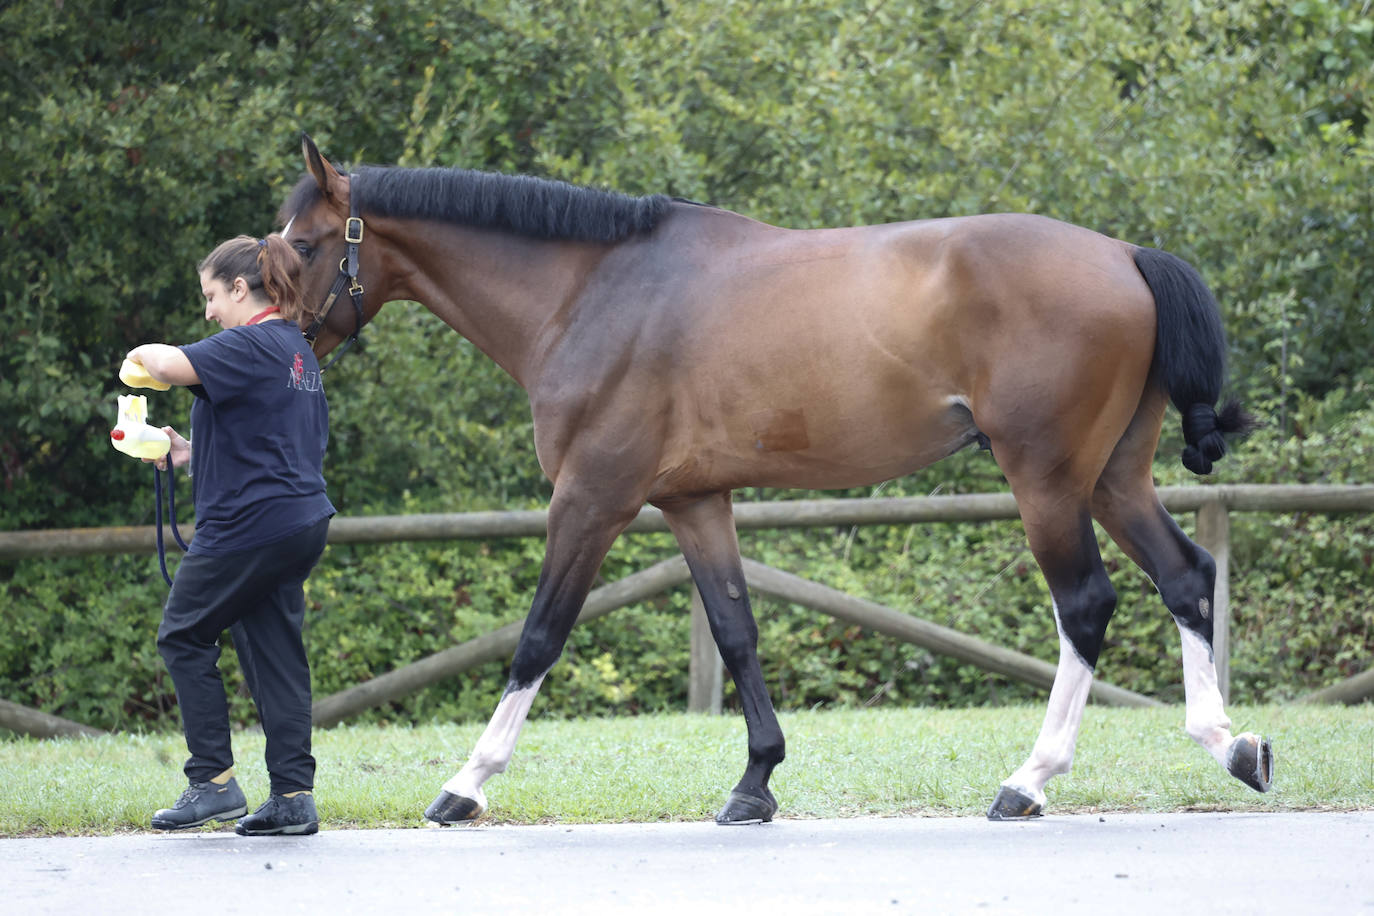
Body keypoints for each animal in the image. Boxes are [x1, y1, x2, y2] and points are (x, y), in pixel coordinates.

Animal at [281, 134, 1275, 823]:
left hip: (1048, 481)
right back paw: (1231, 746)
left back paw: (1029, 781)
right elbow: (735, 631)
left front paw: (467, 784)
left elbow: (539, 635)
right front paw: (755, 782)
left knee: (1087, 605)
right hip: (1111, 477)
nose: (272, 330)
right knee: (1185, 575)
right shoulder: (692, 501)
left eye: (303, 244)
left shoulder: (593, 499)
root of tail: (1126, 254)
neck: (591, 293)